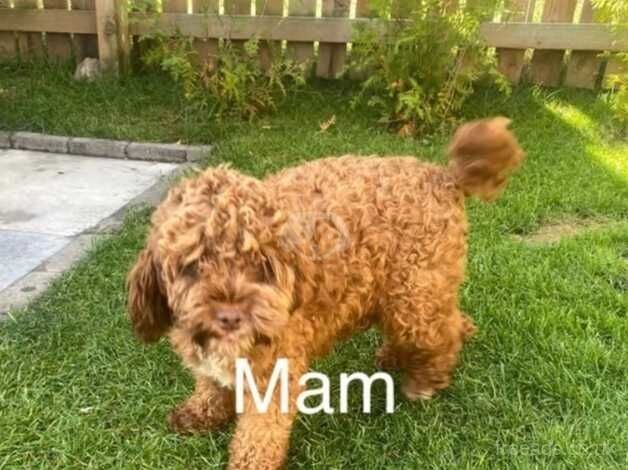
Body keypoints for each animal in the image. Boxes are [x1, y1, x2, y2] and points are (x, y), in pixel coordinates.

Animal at [127, 116, 524, 466]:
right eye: (192, 265)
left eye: (261, 264)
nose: (230, 316)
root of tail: (442, 177)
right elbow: (210, 385)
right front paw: (200, 413)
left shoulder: (275, 370)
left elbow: (259, 432)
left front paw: (248, 461)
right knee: (447, 317)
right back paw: (399, 355)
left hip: (414, 294)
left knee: (444, 331)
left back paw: (425, 379)